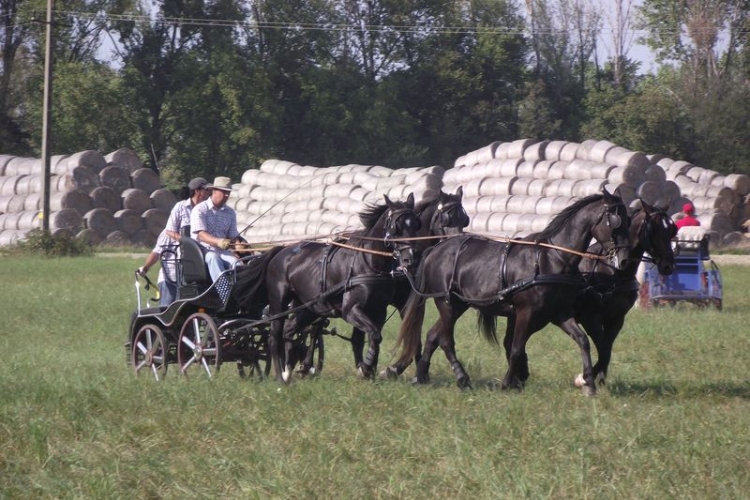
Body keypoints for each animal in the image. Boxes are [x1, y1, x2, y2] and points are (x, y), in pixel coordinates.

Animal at [394, 189, 636, 396]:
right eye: (616, 222)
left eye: (629, 221)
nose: (624, 259)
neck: (553, 258)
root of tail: (435, 249)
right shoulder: (525, 312)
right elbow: (517, 348)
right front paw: (508, 382)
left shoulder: (559, 313)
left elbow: (582, 340)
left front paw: (588, 383)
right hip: (448, 304)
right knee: (445, 339)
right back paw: (461, 377)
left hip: (459, 305)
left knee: (432, 335)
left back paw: (421, 375)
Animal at [572, 200, 680, 386]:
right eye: (653, 229)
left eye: (672, 229)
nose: (668, 266)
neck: (613, 271)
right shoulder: (590, 318)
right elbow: (603, 348)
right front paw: (584, 378)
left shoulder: (616, 318)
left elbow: (607, 349)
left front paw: (599, 378)